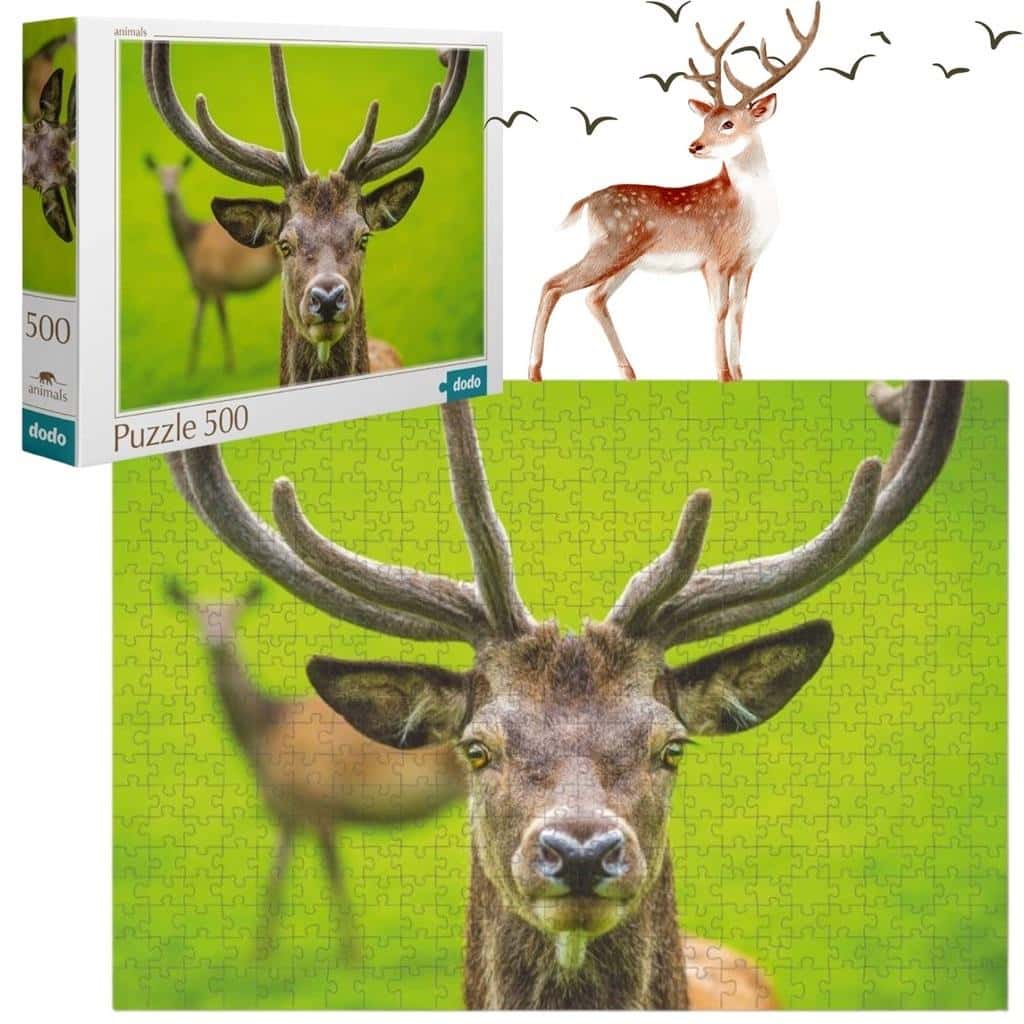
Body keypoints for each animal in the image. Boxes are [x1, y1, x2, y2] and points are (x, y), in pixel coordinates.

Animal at [143, 154, 280, 375]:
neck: (191, 247)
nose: (169, 192)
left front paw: (230, 366)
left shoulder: (217, 283)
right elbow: (195, 330)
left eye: (178, 175)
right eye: (159, 175)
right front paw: (190, 371)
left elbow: (223, 324)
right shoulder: (201, 289)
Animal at [160, 569, 466, 959]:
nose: (215, 640)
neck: (264, 733)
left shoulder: (320, 803)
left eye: (234, 613)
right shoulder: (286, 814)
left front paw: (352, 954)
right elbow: (274, 881)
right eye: (197, 612)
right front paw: (259, 954)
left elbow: (334, 879)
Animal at [529, 3, 821, 384]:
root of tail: (588, 201)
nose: (695, 145)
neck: (748, 211)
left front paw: (740, 374)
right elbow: (720, 310)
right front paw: (723, 375)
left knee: (593, 298)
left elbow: (740, 312)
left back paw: (630, 372)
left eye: (727, 123)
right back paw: (535, 371)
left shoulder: (747, 262)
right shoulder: (715, 258)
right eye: (705, 120)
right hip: (612, 245)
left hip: (626, 259)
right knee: (554, 284)